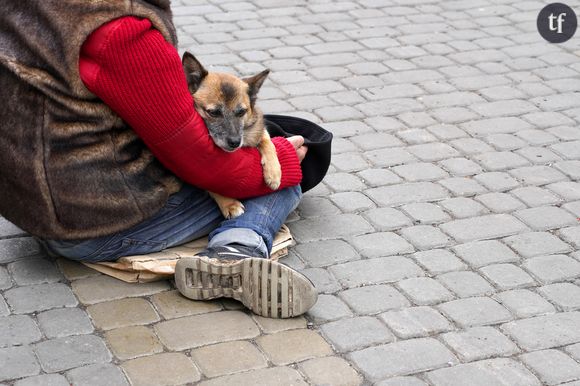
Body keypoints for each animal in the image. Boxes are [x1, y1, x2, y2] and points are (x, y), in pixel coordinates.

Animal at [181, 52, 280, 219]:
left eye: (241, 112)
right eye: (213, 112)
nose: (235, 142)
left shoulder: (257, 129)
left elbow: (267, 142)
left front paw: (274, 173)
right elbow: (211, 182)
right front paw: (229, 204)